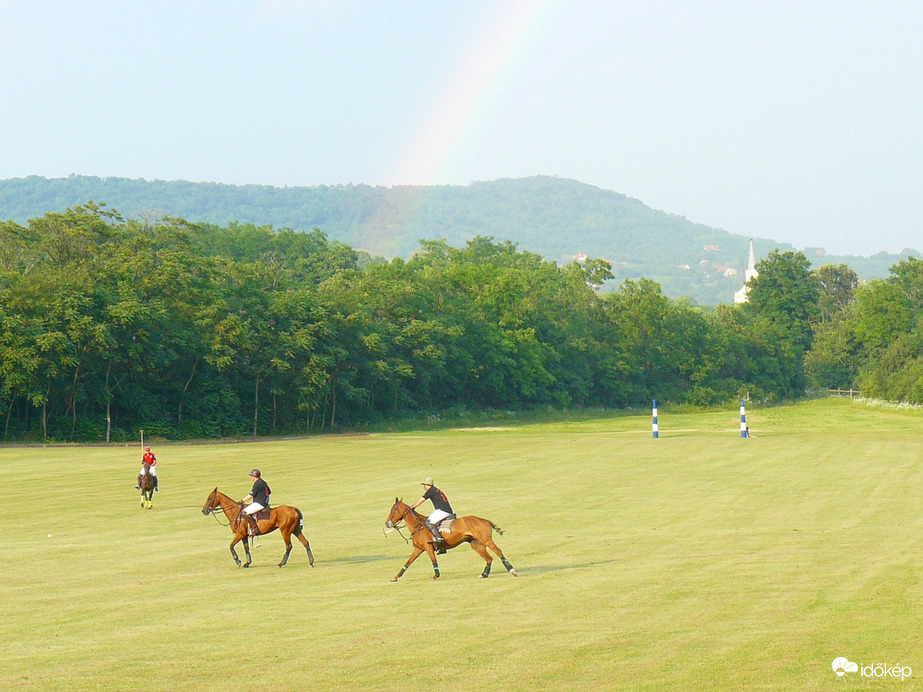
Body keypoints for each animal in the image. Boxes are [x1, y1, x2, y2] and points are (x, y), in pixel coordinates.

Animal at [380, 500, 512, 580]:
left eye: (392, 510)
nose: (387, 523)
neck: (418, 526)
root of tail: (484, 520)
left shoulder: (428, 547)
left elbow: (434, 561)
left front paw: (436, 575)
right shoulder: (418, 549)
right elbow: (408, 562)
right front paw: (396, 577)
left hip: (486, 540)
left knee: (498, 551)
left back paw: (511, 570)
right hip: (477, 544)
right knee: (489, 558)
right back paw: (484, 574)